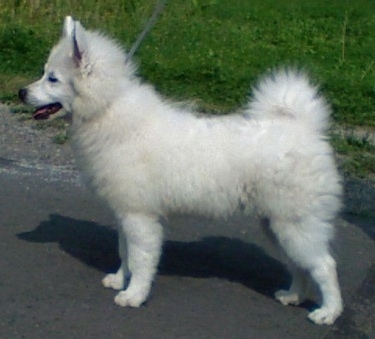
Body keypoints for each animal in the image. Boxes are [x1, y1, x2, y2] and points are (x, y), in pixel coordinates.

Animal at [19, 16, 344, 326]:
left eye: (52, 78)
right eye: (43, 73)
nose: (21, 92)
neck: (107, 110)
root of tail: (301, 127)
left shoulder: (141, 218)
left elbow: (141, 260)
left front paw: (134, 295)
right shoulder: (126, 213)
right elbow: (124, 253)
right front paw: (120, 280)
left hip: (294, 224)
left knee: (325, 266)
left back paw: (328, 312)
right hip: (278, 225)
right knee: (300, 265)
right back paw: (294, 296)